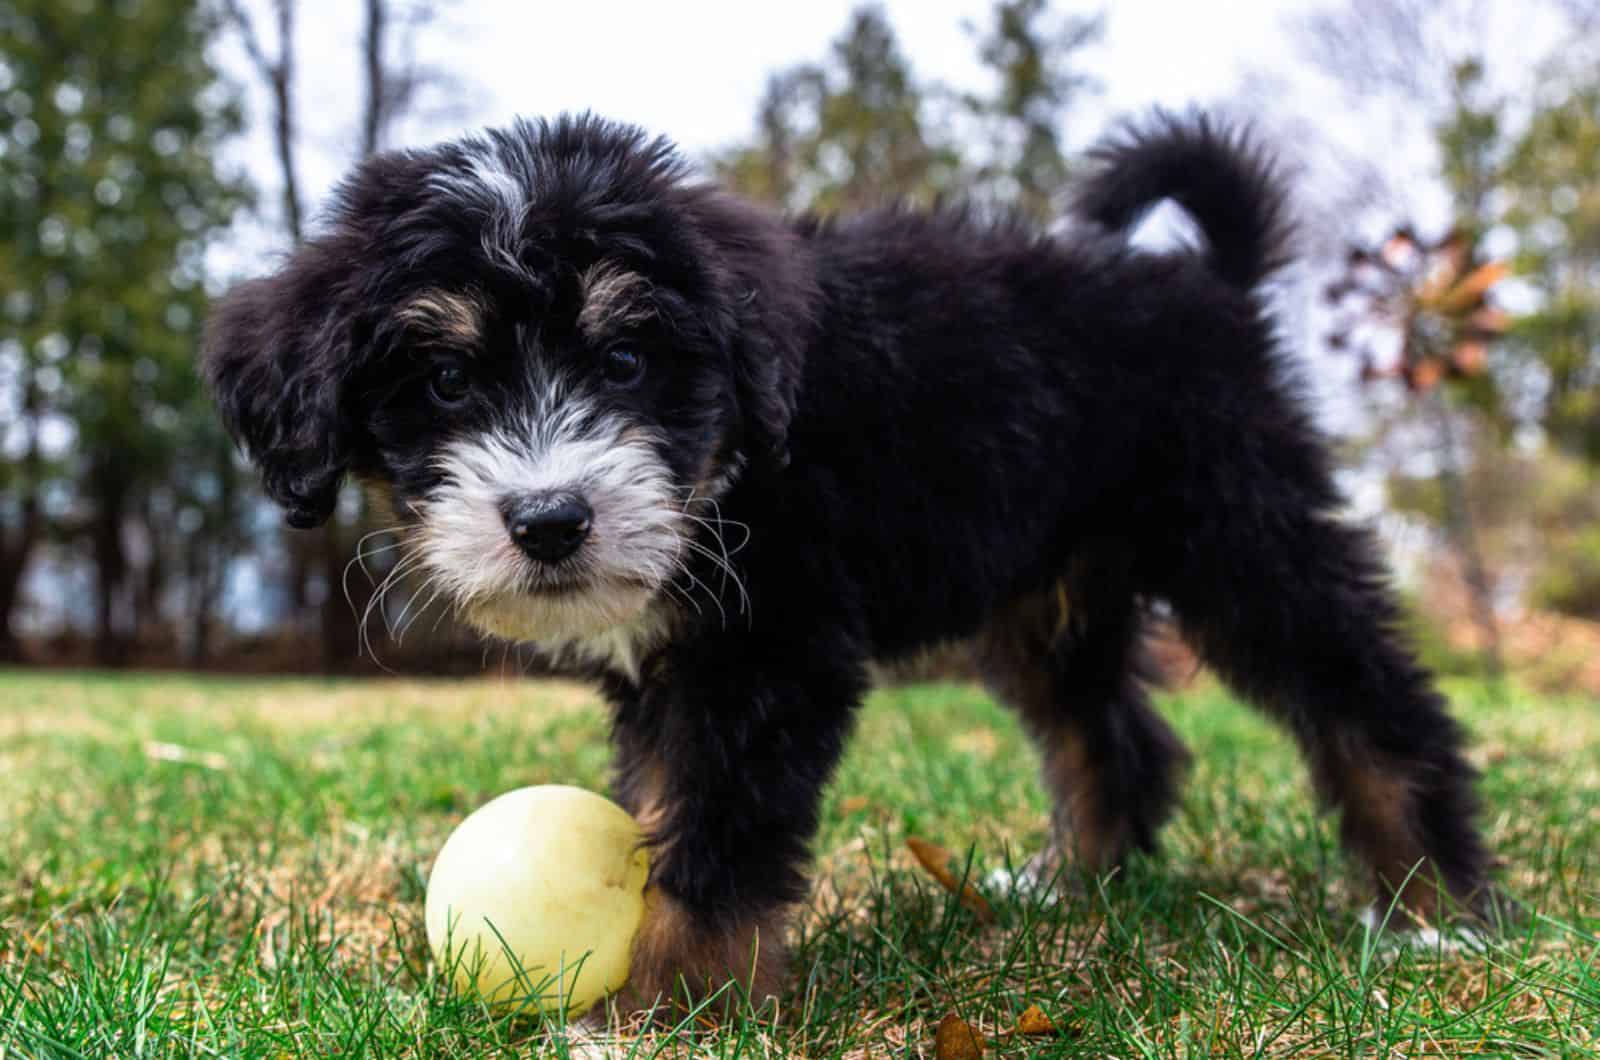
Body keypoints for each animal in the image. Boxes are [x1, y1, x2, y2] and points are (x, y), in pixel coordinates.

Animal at [206, 112, 1491, 1018]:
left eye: (625, 360)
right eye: (445, 381)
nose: (550, 519)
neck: (738, 457)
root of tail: (1207, 283)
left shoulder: (770, 654)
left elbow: (717, 837)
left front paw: (663, 1006)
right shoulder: (680, 664)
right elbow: (669, 803)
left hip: (1238, 526)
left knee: (1369, 697)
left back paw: (1436, 906)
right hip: (1049, 590)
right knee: (1111, 735)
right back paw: (1072, 887)